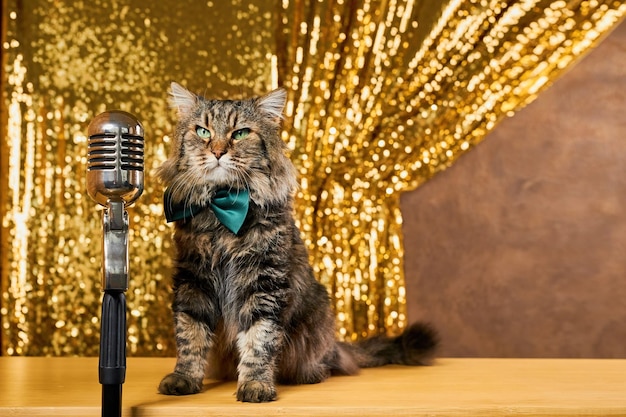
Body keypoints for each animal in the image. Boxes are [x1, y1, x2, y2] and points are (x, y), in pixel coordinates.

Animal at [156, 79, 438, 402]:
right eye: (203, 132)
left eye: (240, 133)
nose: (217, 152)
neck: (222, 210)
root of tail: (334, 345)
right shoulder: (193, 278)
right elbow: (191, 336)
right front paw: (184, 378)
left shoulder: (264, 281)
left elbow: (259, 340)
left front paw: (256, 385)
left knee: (327, 363)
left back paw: (312, 374)